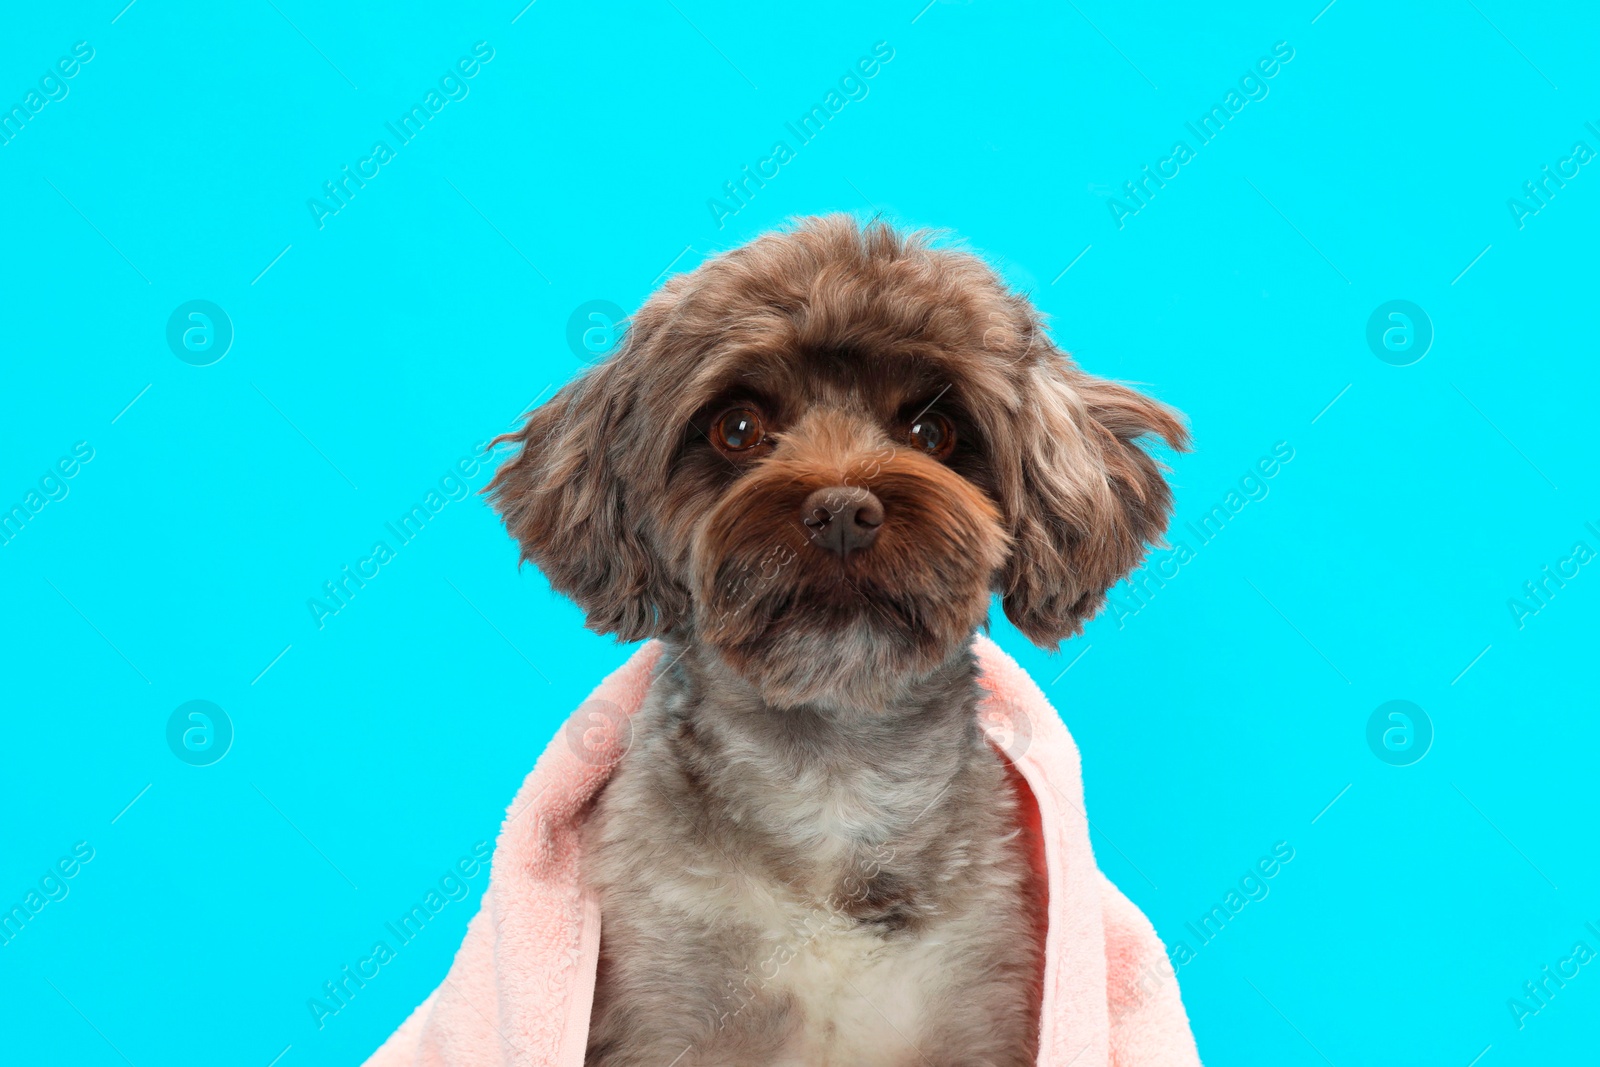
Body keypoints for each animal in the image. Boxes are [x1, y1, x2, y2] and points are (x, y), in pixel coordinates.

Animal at [486, 212, 1190, 1062]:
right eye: (737, 427)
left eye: (931, 428)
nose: (844, 511)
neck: (834, 784)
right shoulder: (663, 1014)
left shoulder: (982, 1010)